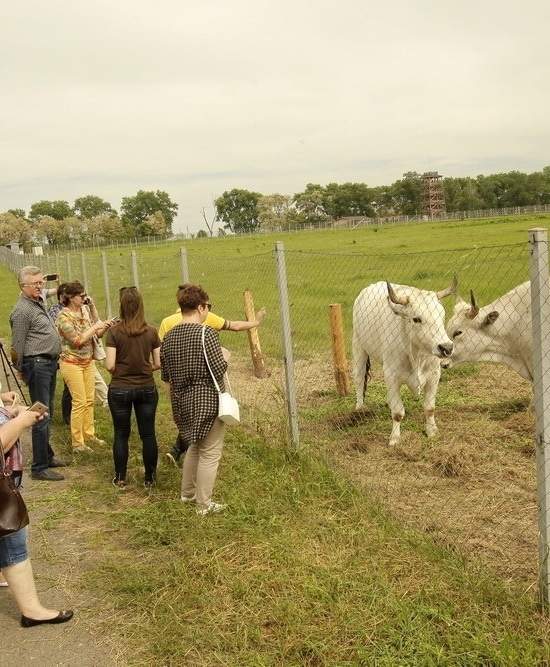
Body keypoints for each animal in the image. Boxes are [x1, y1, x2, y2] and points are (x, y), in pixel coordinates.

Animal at [354, 280, 458, 446]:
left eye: (442, 316)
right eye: (416, 319)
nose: (446, 347)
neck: (417, 355)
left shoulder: (434, 375)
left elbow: (430, 408)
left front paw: (432, 431)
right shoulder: (391, 376)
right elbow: (397, 412)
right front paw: (395, 438)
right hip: (358, 346)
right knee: (359, 378)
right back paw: (359, 408)